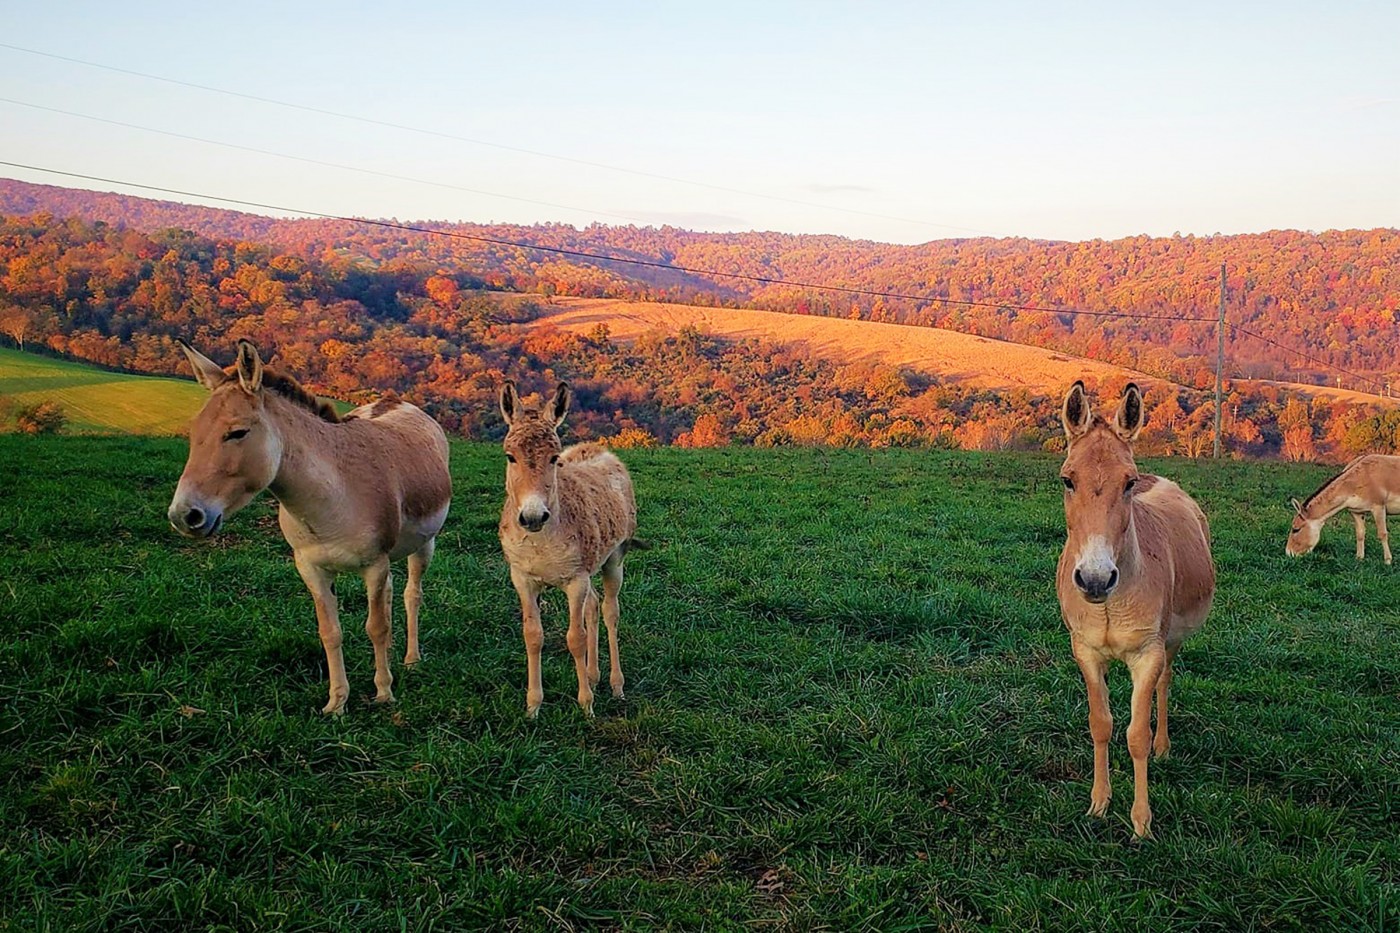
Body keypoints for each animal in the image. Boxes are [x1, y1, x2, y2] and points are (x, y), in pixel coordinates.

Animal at [167, 341, 453, 711]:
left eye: (237, 432)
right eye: (194, 432)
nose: (183, 515)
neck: (333, 494)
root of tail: (397, 402)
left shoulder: (374, 565)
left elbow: (375, 627)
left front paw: (384, 692)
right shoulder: (310, 567)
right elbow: (330, 632)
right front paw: (337, 702)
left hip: (423, 544)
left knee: (411, 594)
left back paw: (411, 659)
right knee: (391, 596)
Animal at [498, 381, 641, 714]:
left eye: (553, 457)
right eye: (510, 456)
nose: (532, 516)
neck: (542, 543)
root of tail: (600, 450)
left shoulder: (575, 580)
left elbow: (575, 638)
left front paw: (586, 705)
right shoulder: (522, 579)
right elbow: (532, 635)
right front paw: (533, 707)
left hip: (614, 559)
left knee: (610, 610)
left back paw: (616, 685)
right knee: (593, 605)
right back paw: (593, 674)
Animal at [1052, 381, 1209, 834]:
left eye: (1128, 483)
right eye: (1067, 480)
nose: (1095, 578)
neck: (1110, 605)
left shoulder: (1148, 653)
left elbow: (1136, 734)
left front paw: (1141, 822)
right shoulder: (1086, 651)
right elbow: (1101, 725)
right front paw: (1099, 804)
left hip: (1171, 643)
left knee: (1164, 684)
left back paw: (1163, 745)